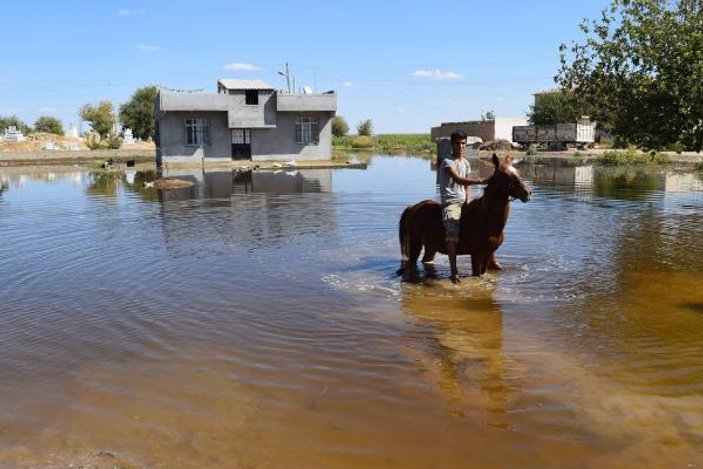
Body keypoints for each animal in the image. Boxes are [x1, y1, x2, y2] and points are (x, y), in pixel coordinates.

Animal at [398, 154, 532, 278]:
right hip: (415, 245)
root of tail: (413, 207)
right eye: (504, 175)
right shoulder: (476, 255)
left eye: (518, 172)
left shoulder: (488, 254)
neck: (486, 219)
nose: (527, 193)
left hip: (431, 247)